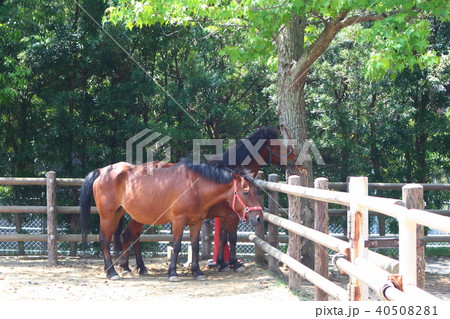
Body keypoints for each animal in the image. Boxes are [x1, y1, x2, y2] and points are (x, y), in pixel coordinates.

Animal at [79, 159, 262, 282]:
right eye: (246, 192)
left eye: (256, 192)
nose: (259, 217)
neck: (194, 186)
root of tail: (102, 171)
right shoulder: (179, 221)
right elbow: (177, 245)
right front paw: (173, 272)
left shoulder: (196, 222)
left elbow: (195, 246)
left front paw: (197, 272)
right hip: (108, 216)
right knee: (104, 239)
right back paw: (112, 272)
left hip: (119, 214)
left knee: (125, 237)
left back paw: (125, 269)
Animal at [114, 127, 300, 276]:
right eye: (277, 146)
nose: (294, 157)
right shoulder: (231, 216)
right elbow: (232, 238)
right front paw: (233, 263)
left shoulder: (223, 216)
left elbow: (223, 238)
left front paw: (221, 262)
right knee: (129, 235)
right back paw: (128, 267)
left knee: (132, 236)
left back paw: (136, 267)